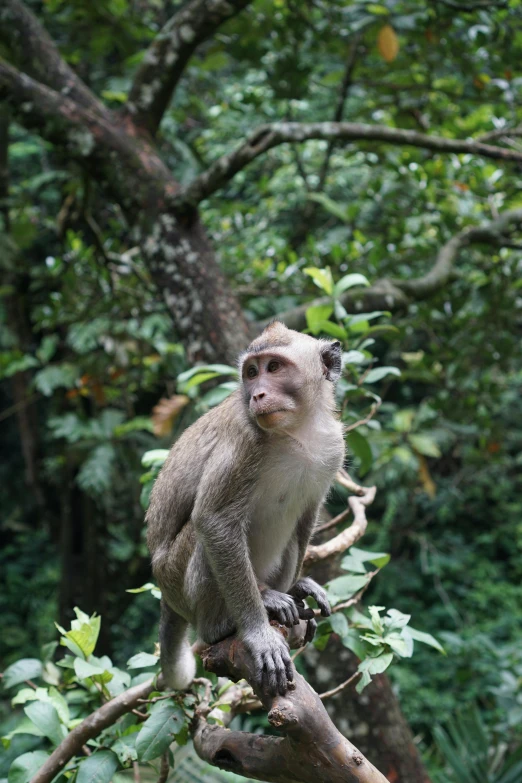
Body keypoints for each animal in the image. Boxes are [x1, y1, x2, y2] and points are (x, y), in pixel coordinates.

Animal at [145, 320, 346, 700]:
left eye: (274, 367)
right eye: (252, 373)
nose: (258, 395)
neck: (296, 429)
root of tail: (165, 595)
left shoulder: (333, 447)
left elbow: (307, 517)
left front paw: (296, 590)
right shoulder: (242, 438)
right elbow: (215, 521)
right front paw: (259, 635)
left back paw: (284, 592)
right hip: (178, 582)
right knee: (202, 536)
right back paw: (230, 619)